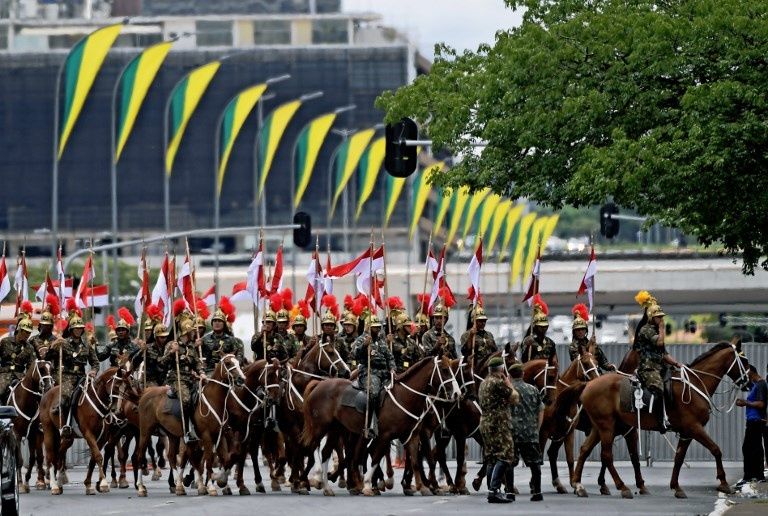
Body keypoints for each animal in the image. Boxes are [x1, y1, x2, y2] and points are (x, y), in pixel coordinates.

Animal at [6, 358, 54, 492]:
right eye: (41, 369)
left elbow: (34, 458)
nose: (49, 387)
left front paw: (29, 480)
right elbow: (19, 459)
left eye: (52, 369)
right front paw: (20, 484)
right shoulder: (16, 434)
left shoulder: (35, 434)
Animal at [298, 356, 456, 498]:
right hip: (319, 428)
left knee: (325, 452)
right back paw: (309, 482)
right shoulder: (384, 436)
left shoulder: (412, 436)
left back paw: (326, 487)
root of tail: (319, 384)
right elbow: (375, 458)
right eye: (444, 370)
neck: (405, 396)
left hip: (335, 430)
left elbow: (416, 462)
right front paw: (368, 485)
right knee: (311, 448)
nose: (456, 393)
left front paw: (423, 488)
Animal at [572, 340, 748, 498]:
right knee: (607, 455)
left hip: (599, 427)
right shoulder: (694, 428)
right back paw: (622, 487)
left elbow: (678, 458)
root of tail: (589, 385)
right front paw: (724, 483)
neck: (694, 384)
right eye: (745, 361)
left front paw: (675, 487)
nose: (749, 381)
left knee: (585, 450)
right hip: (607, 427)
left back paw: (578, 485)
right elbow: (716, 449)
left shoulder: (686, 433)